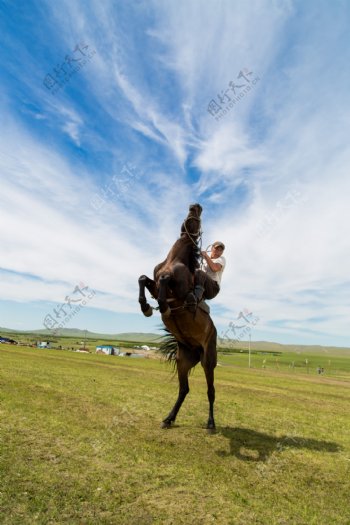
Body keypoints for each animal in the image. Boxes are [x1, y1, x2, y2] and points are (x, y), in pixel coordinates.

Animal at [137, 203, 216, 428]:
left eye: (200, 215)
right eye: (191, 211)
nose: (195, 206)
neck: (174, 260)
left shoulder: (179, 291)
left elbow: (165, 280)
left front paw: (163, 307)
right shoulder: (154, 285)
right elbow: (143, 278)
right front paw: (146, 307)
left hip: (208, 361)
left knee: (211, 391)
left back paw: (211, 424)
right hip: (183, 361)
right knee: (184, 389)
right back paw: (169, 419)